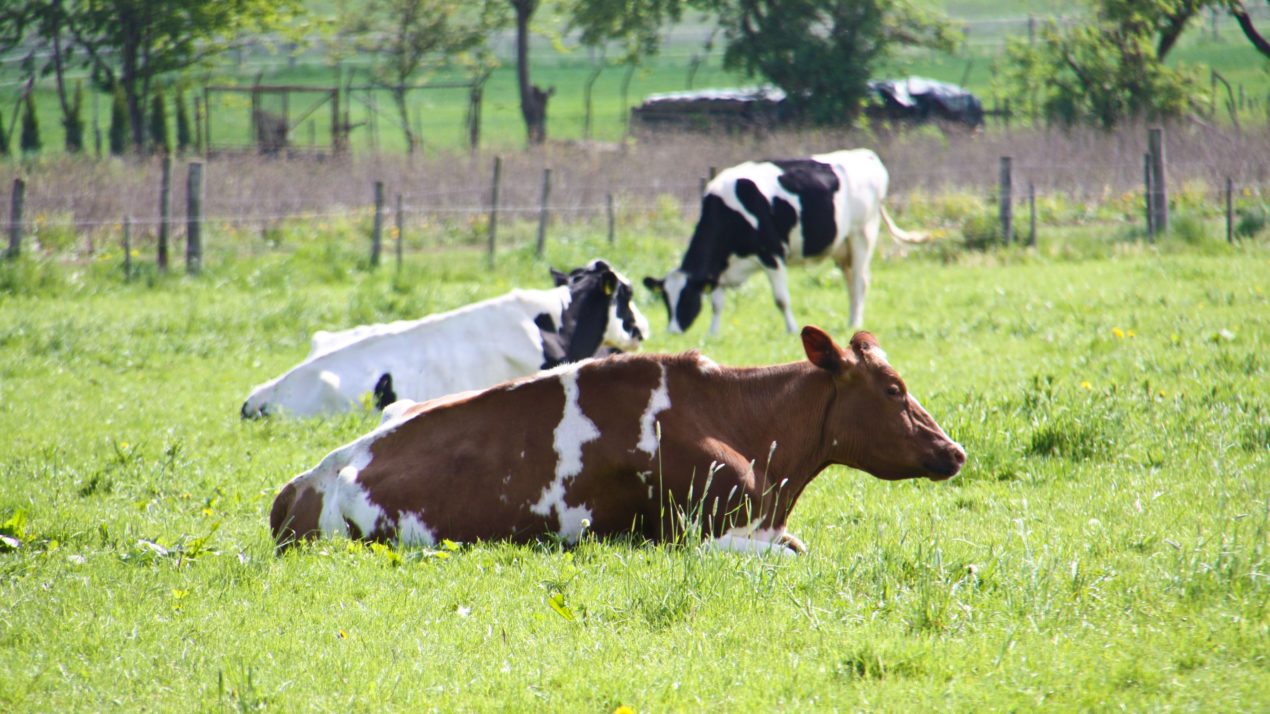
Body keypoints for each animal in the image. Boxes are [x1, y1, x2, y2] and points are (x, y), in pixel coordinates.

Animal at [645, 148, 924, 335]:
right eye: (666, 299)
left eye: (687, 297)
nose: (672, 331)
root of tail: (865, 154)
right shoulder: (720, 268)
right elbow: (717, 303)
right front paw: (713, 333)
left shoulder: (772, 253)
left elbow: (781, 299)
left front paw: (791, 329)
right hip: (841, 245)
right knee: (850, 281)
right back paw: (850, 319)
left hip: (862, 234)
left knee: (860, 280)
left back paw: (855, 322)